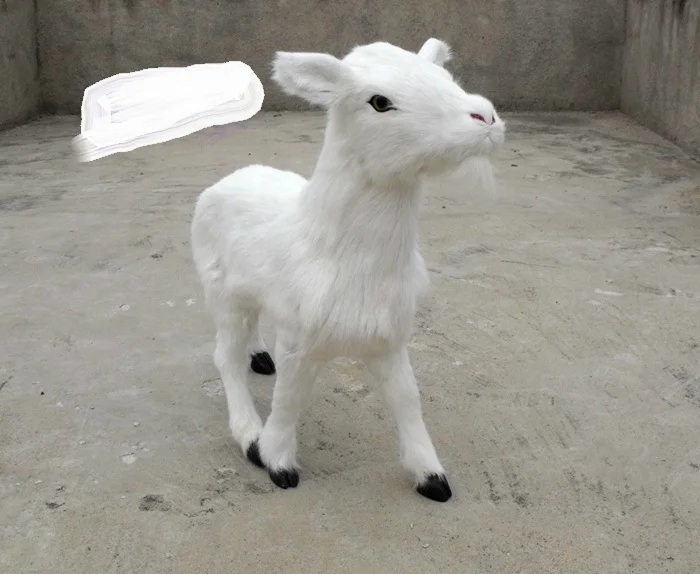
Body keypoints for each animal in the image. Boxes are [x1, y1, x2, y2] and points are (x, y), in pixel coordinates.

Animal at [190, 38, 506, 502]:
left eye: (447, 78)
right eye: (379, 101)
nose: (485, 117)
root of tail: (225, 180)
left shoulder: (389, 337)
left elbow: (408, 399)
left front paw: (432, 477)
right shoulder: (300, 341)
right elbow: (288, 400)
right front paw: (277, 462)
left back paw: (259, 357)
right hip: (221, 291)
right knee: (225, 356)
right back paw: (247, 434)